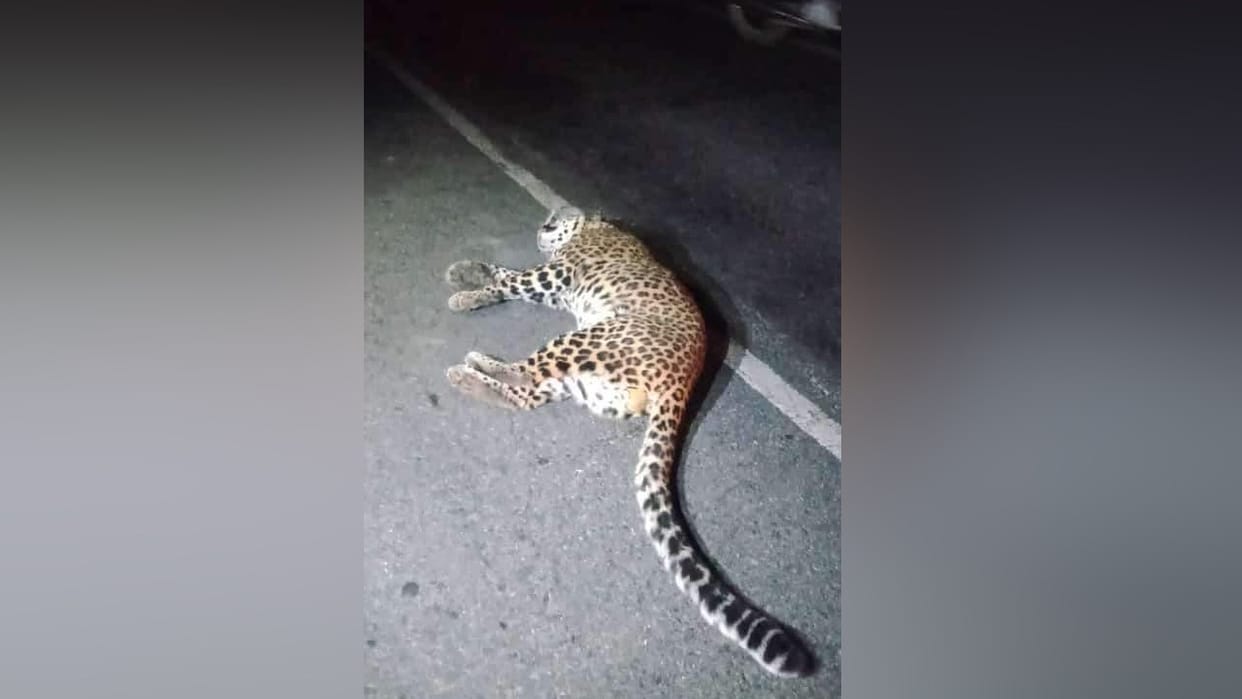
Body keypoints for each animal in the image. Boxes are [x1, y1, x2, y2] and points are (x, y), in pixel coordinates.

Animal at [441, 206, 815, 678]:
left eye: (551, 220)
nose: (541, 229)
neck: (592, 225)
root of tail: (685, 380)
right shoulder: (551, 286)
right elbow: (503, 273)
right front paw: (465, 271)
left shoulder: (551, 276)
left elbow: (510, 280)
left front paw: (467, 292)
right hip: (581, 379)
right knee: (527, 393)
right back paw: (470, 378)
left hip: (589, 338)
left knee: (527, 373)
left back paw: (475, 363)